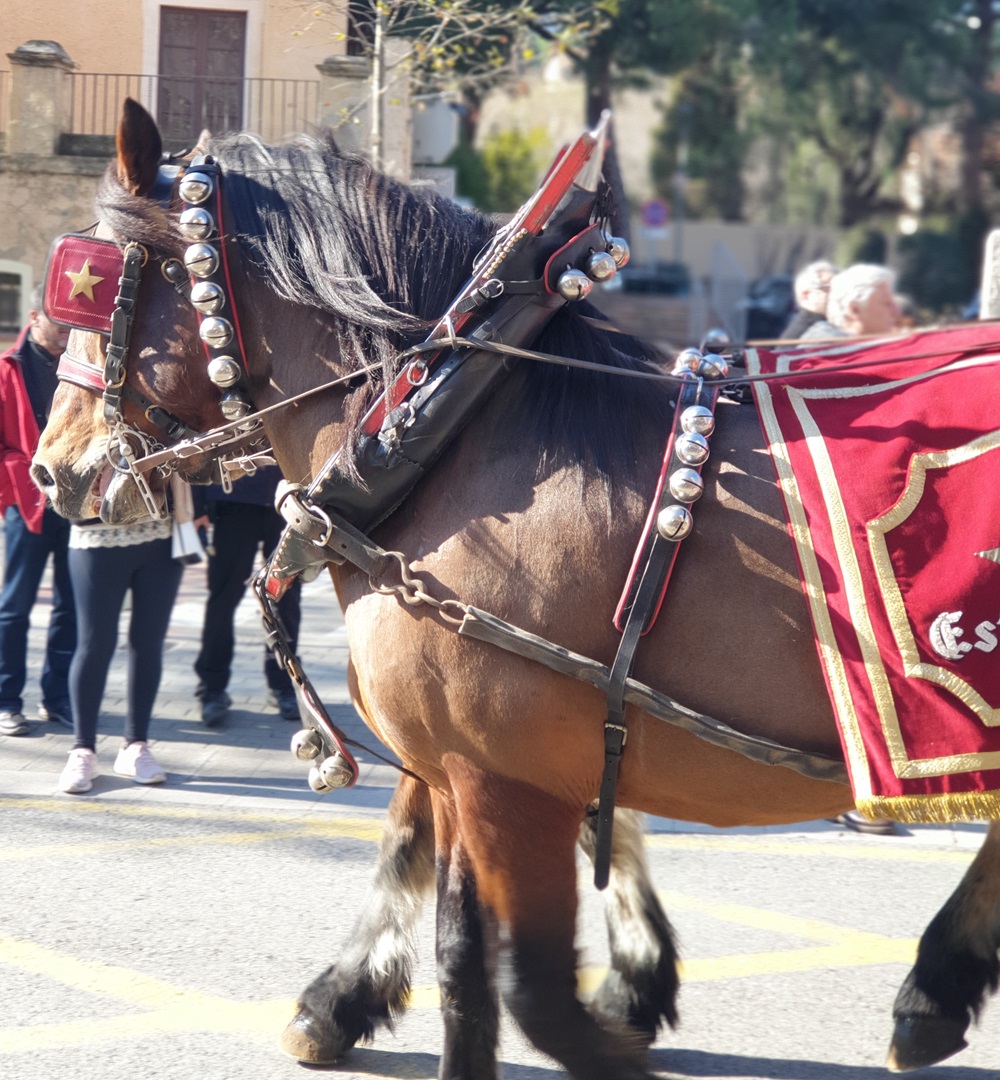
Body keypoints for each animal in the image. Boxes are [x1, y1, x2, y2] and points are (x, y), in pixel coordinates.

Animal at [35, 99, 1000, 1071]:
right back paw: (935, 988)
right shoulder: (461, 768)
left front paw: (615, 1021)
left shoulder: (509, 781)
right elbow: (458, 945)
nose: (50, 470)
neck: (446, 422)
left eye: (97, 284)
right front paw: (351, 997)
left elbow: (527, 986)